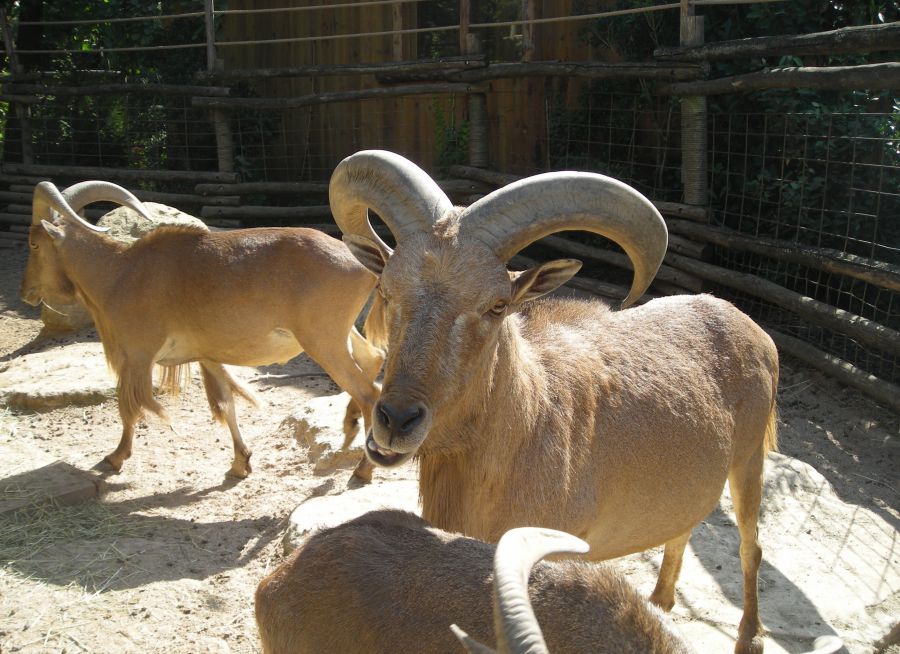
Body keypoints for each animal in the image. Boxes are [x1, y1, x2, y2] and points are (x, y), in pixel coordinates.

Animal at [18, 182, 384, 480]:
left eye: (34, 244)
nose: (26, 292)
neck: (118, 273)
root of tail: (367, 265)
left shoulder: (137, 355)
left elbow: (128, 407)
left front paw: (114, 458)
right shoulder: (207, 355)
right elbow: (226, 403)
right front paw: (240, 463)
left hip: (323, 340)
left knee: (369, 393)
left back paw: (364, 469)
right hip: (339, 333)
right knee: (373, 359)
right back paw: (349, 426)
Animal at [328, 150, 780, 654]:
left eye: (497, 305)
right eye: (386, 290)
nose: (396, 419)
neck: (529, 423)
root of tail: (750, 326)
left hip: (748, 462)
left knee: (751, 546)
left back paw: (748, 637)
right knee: (682, 527)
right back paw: (660, 601)